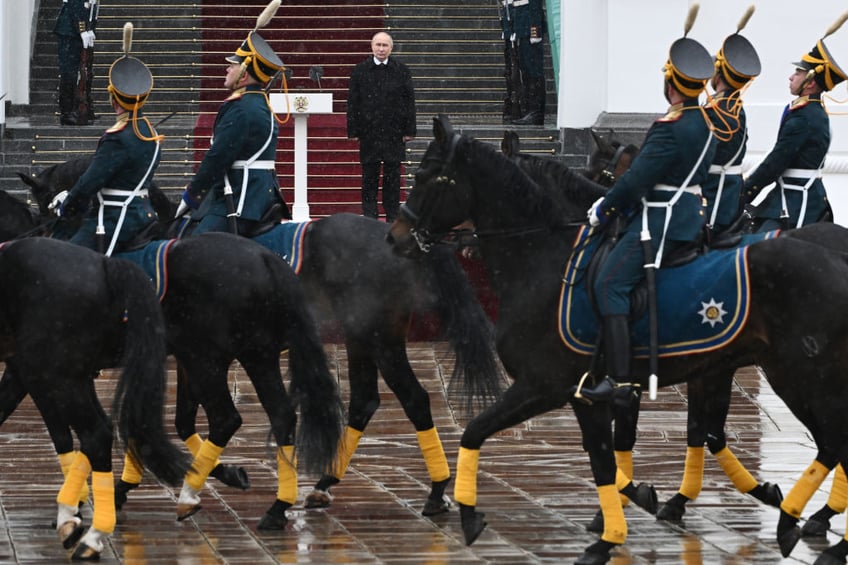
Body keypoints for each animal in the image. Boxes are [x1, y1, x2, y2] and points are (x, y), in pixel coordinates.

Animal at [0, 236, 190, 556]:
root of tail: (103, 263)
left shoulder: (30, 374)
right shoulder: (20, 372)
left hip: (57, 375)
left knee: (96, 434)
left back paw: (90, 534)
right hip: (65, 375)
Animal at [390, 113, 848, 560]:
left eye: (425, 175)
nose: (394, 237)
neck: (548, 258)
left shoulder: (547, 385)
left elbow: (479, 431)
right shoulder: (598, 390)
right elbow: (615, 454)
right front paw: (629, 510)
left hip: (800, 378)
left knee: (833, 443)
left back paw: (804, 522)